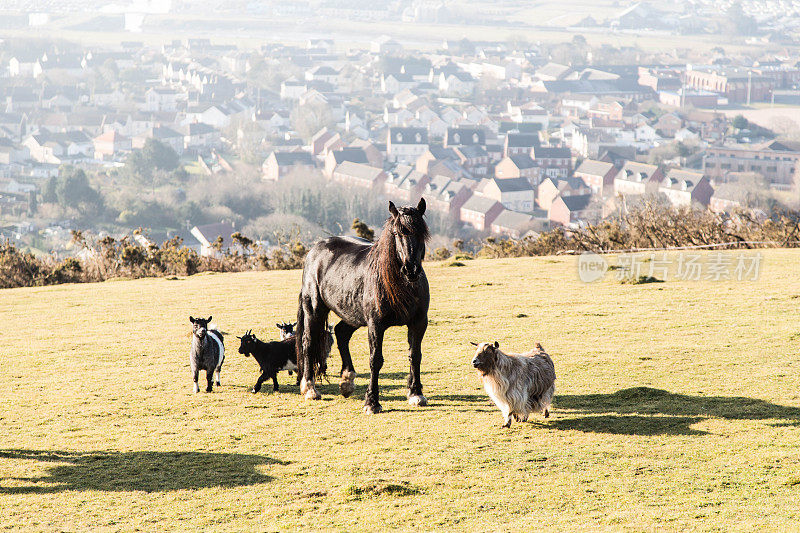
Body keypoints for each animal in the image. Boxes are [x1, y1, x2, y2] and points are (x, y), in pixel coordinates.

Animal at [296, 198, 432, 412]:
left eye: (420, 232)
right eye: (396, 233)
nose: (410, 269)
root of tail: (314, 251)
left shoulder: (418, 323)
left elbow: (415, 355)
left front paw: (416, 393)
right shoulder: (375, 325)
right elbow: (375, 360)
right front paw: (372, 402)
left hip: (352, 314)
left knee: (342, 333)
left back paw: (347, 380)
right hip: (314, 310)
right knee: (308, 342)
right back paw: (310, 388)